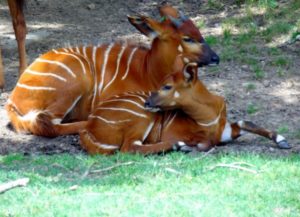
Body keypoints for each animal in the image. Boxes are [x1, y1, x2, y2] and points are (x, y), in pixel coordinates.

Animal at [5, 4, 219, 137]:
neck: (148, 71)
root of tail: (11, 100)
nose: (216, 58)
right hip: (76, 79)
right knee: (48, 125)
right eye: (188, 38)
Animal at [79, 56, 290, 154]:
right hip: (143, 118)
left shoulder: (226, 131)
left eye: (167, 86)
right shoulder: (175, 133)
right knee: (130, 147)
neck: (208, 117)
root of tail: (90, 125)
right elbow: (205, 143)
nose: (148, 101)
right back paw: (179, 146)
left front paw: (283, 140)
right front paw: (188, 145)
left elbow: (245, 122)